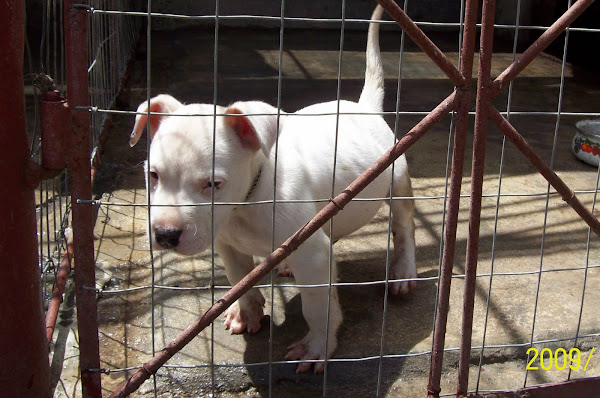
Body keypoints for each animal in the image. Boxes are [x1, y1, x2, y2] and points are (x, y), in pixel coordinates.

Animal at [129, 4, 414, 374]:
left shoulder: (314, 255)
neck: (247, 201)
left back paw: (403, 270)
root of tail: (364, 108)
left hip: (398, 179)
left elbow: (317, 305)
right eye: (153, 175)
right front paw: (247, 312)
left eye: (213, 184)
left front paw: (317, 347)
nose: (165, 235)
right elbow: (239, 277)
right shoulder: (227, 243)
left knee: (404, 226)